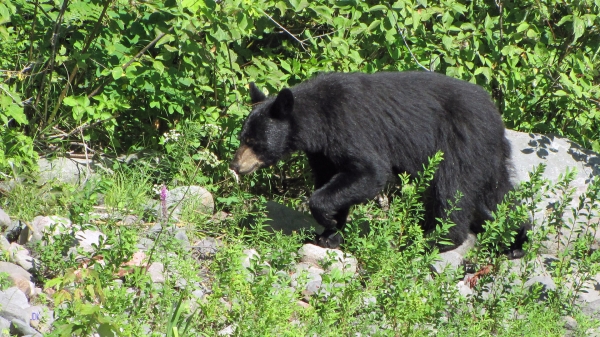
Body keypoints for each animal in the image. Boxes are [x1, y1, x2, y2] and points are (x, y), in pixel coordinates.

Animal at [230, 71, 528, 258]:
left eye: (254, 141)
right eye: (243, 137)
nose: (235, 165)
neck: (317, 121)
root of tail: (496, 116)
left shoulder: (350, 125)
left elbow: (371, 171)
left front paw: (326, 219)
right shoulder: (322, 152)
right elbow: (333, 178)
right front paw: (330, 233)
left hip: (460, 143)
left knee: (453, 188)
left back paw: (436, 240)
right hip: (487, 155)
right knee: (499, 194)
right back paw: (516, 241)